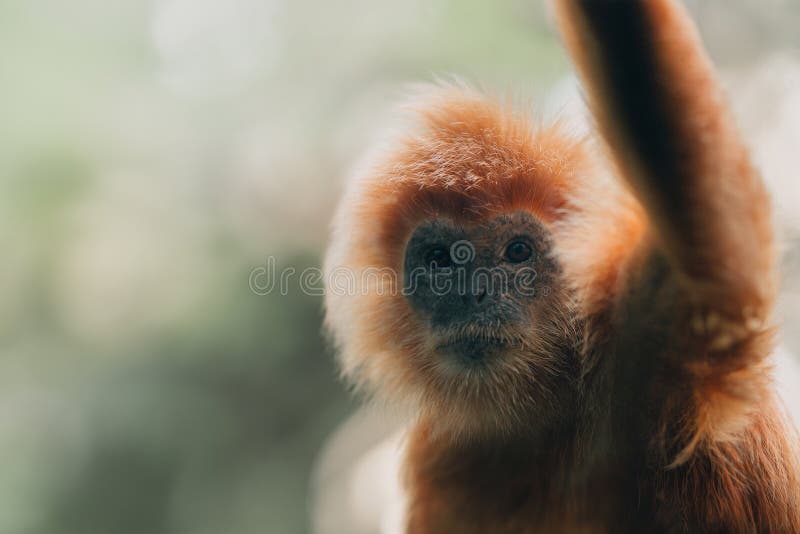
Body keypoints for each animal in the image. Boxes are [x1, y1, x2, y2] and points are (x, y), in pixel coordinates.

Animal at [322, 1, 796, 532]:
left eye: (518, 253)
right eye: (440, 260)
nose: (473, 293)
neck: (550, 408)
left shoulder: (649, 327)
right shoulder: (445, 458)